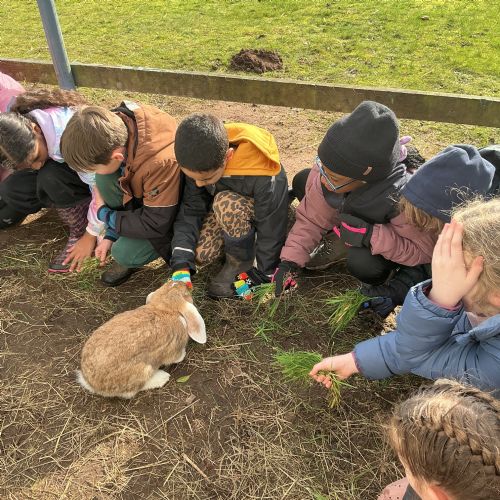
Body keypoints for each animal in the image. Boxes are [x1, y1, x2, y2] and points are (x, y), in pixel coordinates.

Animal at [76, 281, 206, 398]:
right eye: (185, 293)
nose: (184, 283)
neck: (163, 309)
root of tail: (92, 384)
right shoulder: (174, 349)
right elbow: (176, 357)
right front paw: (183, 355)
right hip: (144, 371)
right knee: (133, 390)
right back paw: (162, 377)